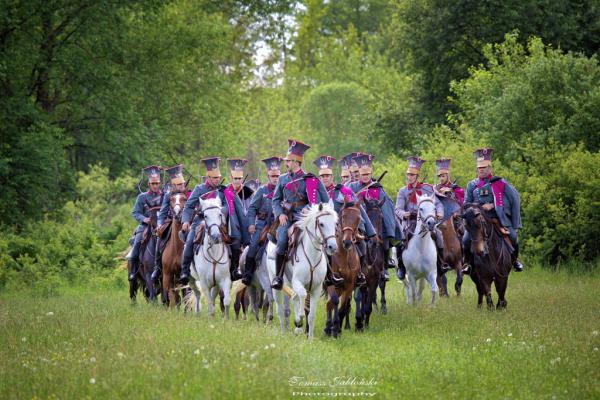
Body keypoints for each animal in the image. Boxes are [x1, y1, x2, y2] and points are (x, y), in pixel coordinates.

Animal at [266, 203, 338, 338]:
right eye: (321, 224)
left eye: (335, 224)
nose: (332, 247)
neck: (312, 256)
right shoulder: (297, 282)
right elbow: (303, 295)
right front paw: (299, 318)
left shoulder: (316, 288)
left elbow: (311, 316)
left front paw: (310, 338)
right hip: (276, 283)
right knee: (280, 310)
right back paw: (284, 333)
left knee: (294, 296)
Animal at [324, 203, 360, 338]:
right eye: (343, 217)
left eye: (358, 218)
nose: (347, 242)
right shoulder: (331, 282)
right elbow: (334, 301)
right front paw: (334, 328)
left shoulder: (349, 285)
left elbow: (343, 307)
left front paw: (336, 330)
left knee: (329, 304)